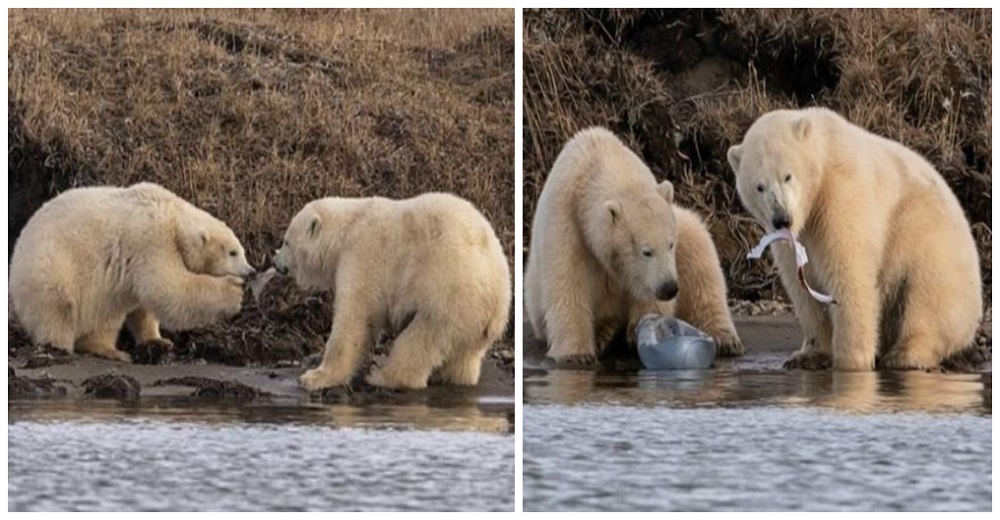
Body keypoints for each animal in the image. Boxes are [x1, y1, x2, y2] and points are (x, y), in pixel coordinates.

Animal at [9, 183, 252, 362]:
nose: (250, 271)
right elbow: (167, 288)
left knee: (106, 315)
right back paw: (60, 348)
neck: (171, 215)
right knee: (57, 307)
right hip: (50, 265)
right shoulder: (150, 239)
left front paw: (160, 341)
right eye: (233, 252)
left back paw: (109, 349)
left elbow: (144, 305)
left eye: (242, 250)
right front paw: (233, 292)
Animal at [274, 193, 512, 388]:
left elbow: (356, 316)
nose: (275, 262)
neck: (348, 227)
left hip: (451, 293)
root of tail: (499, 298)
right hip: (473, 320)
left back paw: (382, 376)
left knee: (421, 339)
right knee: (463, 356)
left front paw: (313, 377)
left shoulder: (362, 254)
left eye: (286, 242)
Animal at [524, 127, 744, 362]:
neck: (598, 158)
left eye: (670, 244)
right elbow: (567, 280)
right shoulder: (565, 219)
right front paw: (577, 354)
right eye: (646, 252)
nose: (668, 288)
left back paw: (725, 339)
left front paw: (642, 329)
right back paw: (605, 333)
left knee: (698, 249)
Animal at [728, 108, 984, 370]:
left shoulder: (841, 194)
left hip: (932, 241)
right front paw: (807, 355)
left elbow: (848, 274)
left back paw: (905, 354)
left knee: (928, 295)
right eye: (759, 186)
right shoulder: (794, 235)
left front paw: (850, 362)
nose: (782, 218)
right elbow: (801, 285)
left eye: (787, 176)